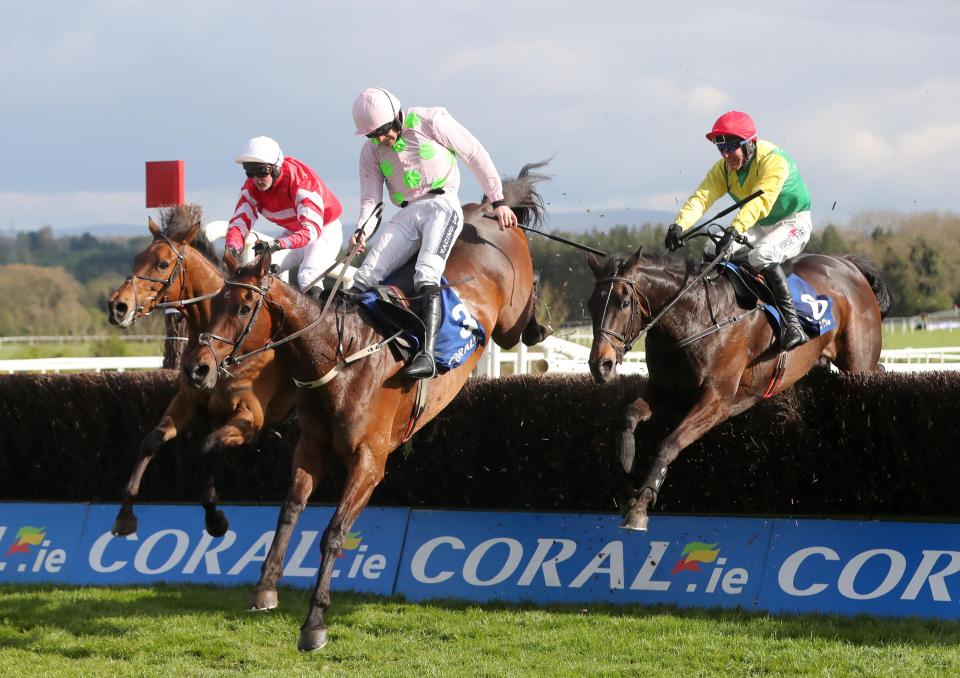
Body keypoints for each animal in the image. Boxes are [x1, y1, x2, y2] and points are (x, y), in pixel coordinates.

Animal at [106, 205, 296, 540]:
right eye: (137, 259)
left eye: (162, 263)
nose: (118, 307)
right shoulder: (188, 403)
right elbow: (151, 441)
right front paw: (125, 515)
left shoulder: (250, 416)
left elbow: (208, 448)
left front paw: (215, 518)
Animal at [183, 161, 552, 652]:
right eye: (215, 302)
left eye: (244, 307)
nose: (199, 368)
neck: (340, 356)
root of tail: (489, 210)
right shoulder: (312, 449)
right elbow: (288, 512)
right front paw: (264, 587)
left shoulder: (370, 461)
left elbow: (334, 534)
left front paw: (314, 623)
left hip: (508, 315)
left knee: (521, 315)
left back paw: (541, 323)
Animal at [584, 246, 892, 536]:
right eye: (591, 304)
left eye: (624, 302)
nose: (601, 365)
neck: (693, 318)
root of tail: (847, 263)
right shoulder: (664, 391)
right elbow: (627, 417)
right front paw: (626, 475)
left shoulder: (716, 399)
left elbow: (669, 444)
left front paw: (640, 506)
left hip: (858, 365)